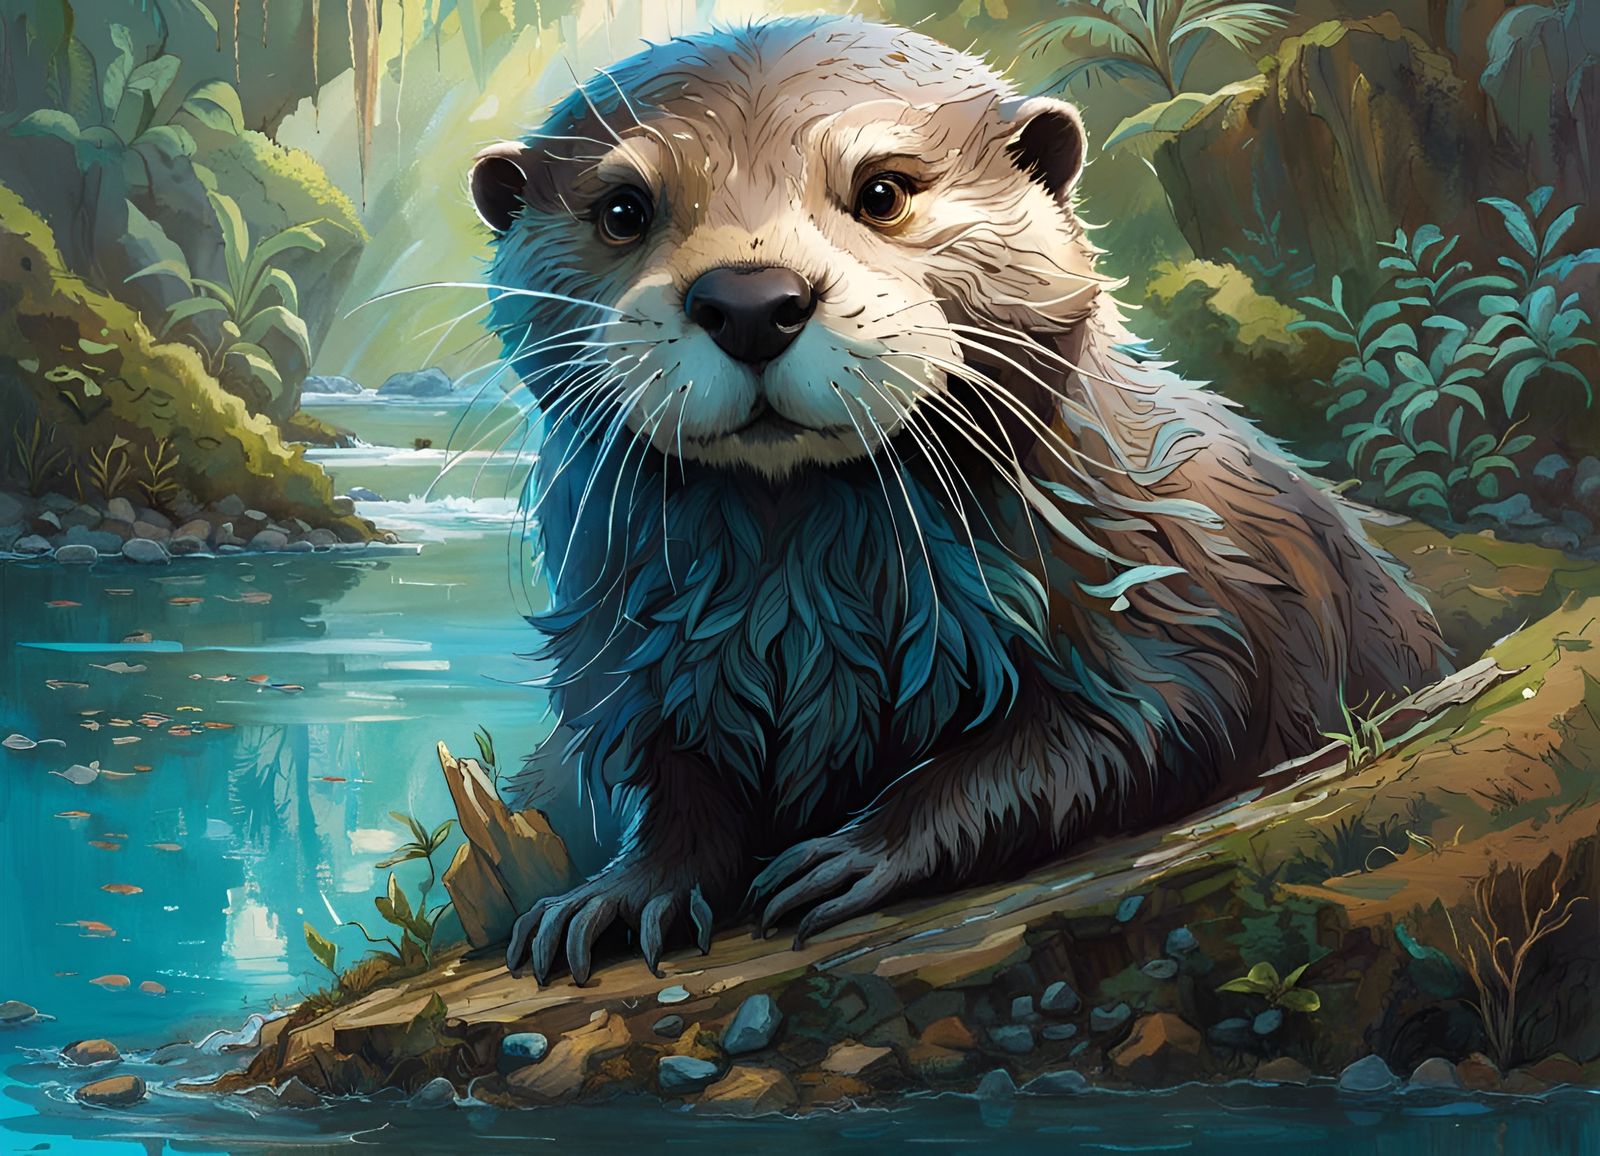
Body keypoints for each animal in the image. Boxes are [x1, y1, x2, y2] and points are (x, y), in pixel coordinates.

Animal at [471, 17, 1447, 985]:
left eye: (883, 192)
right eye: (623, 210)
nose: (750, 300)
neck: (812, 608)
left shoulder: (1167, 594)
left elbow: (1132, 725)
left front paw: (855, 855)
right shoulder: (628, 649)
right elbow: (667, 776)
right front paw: (618, 896)